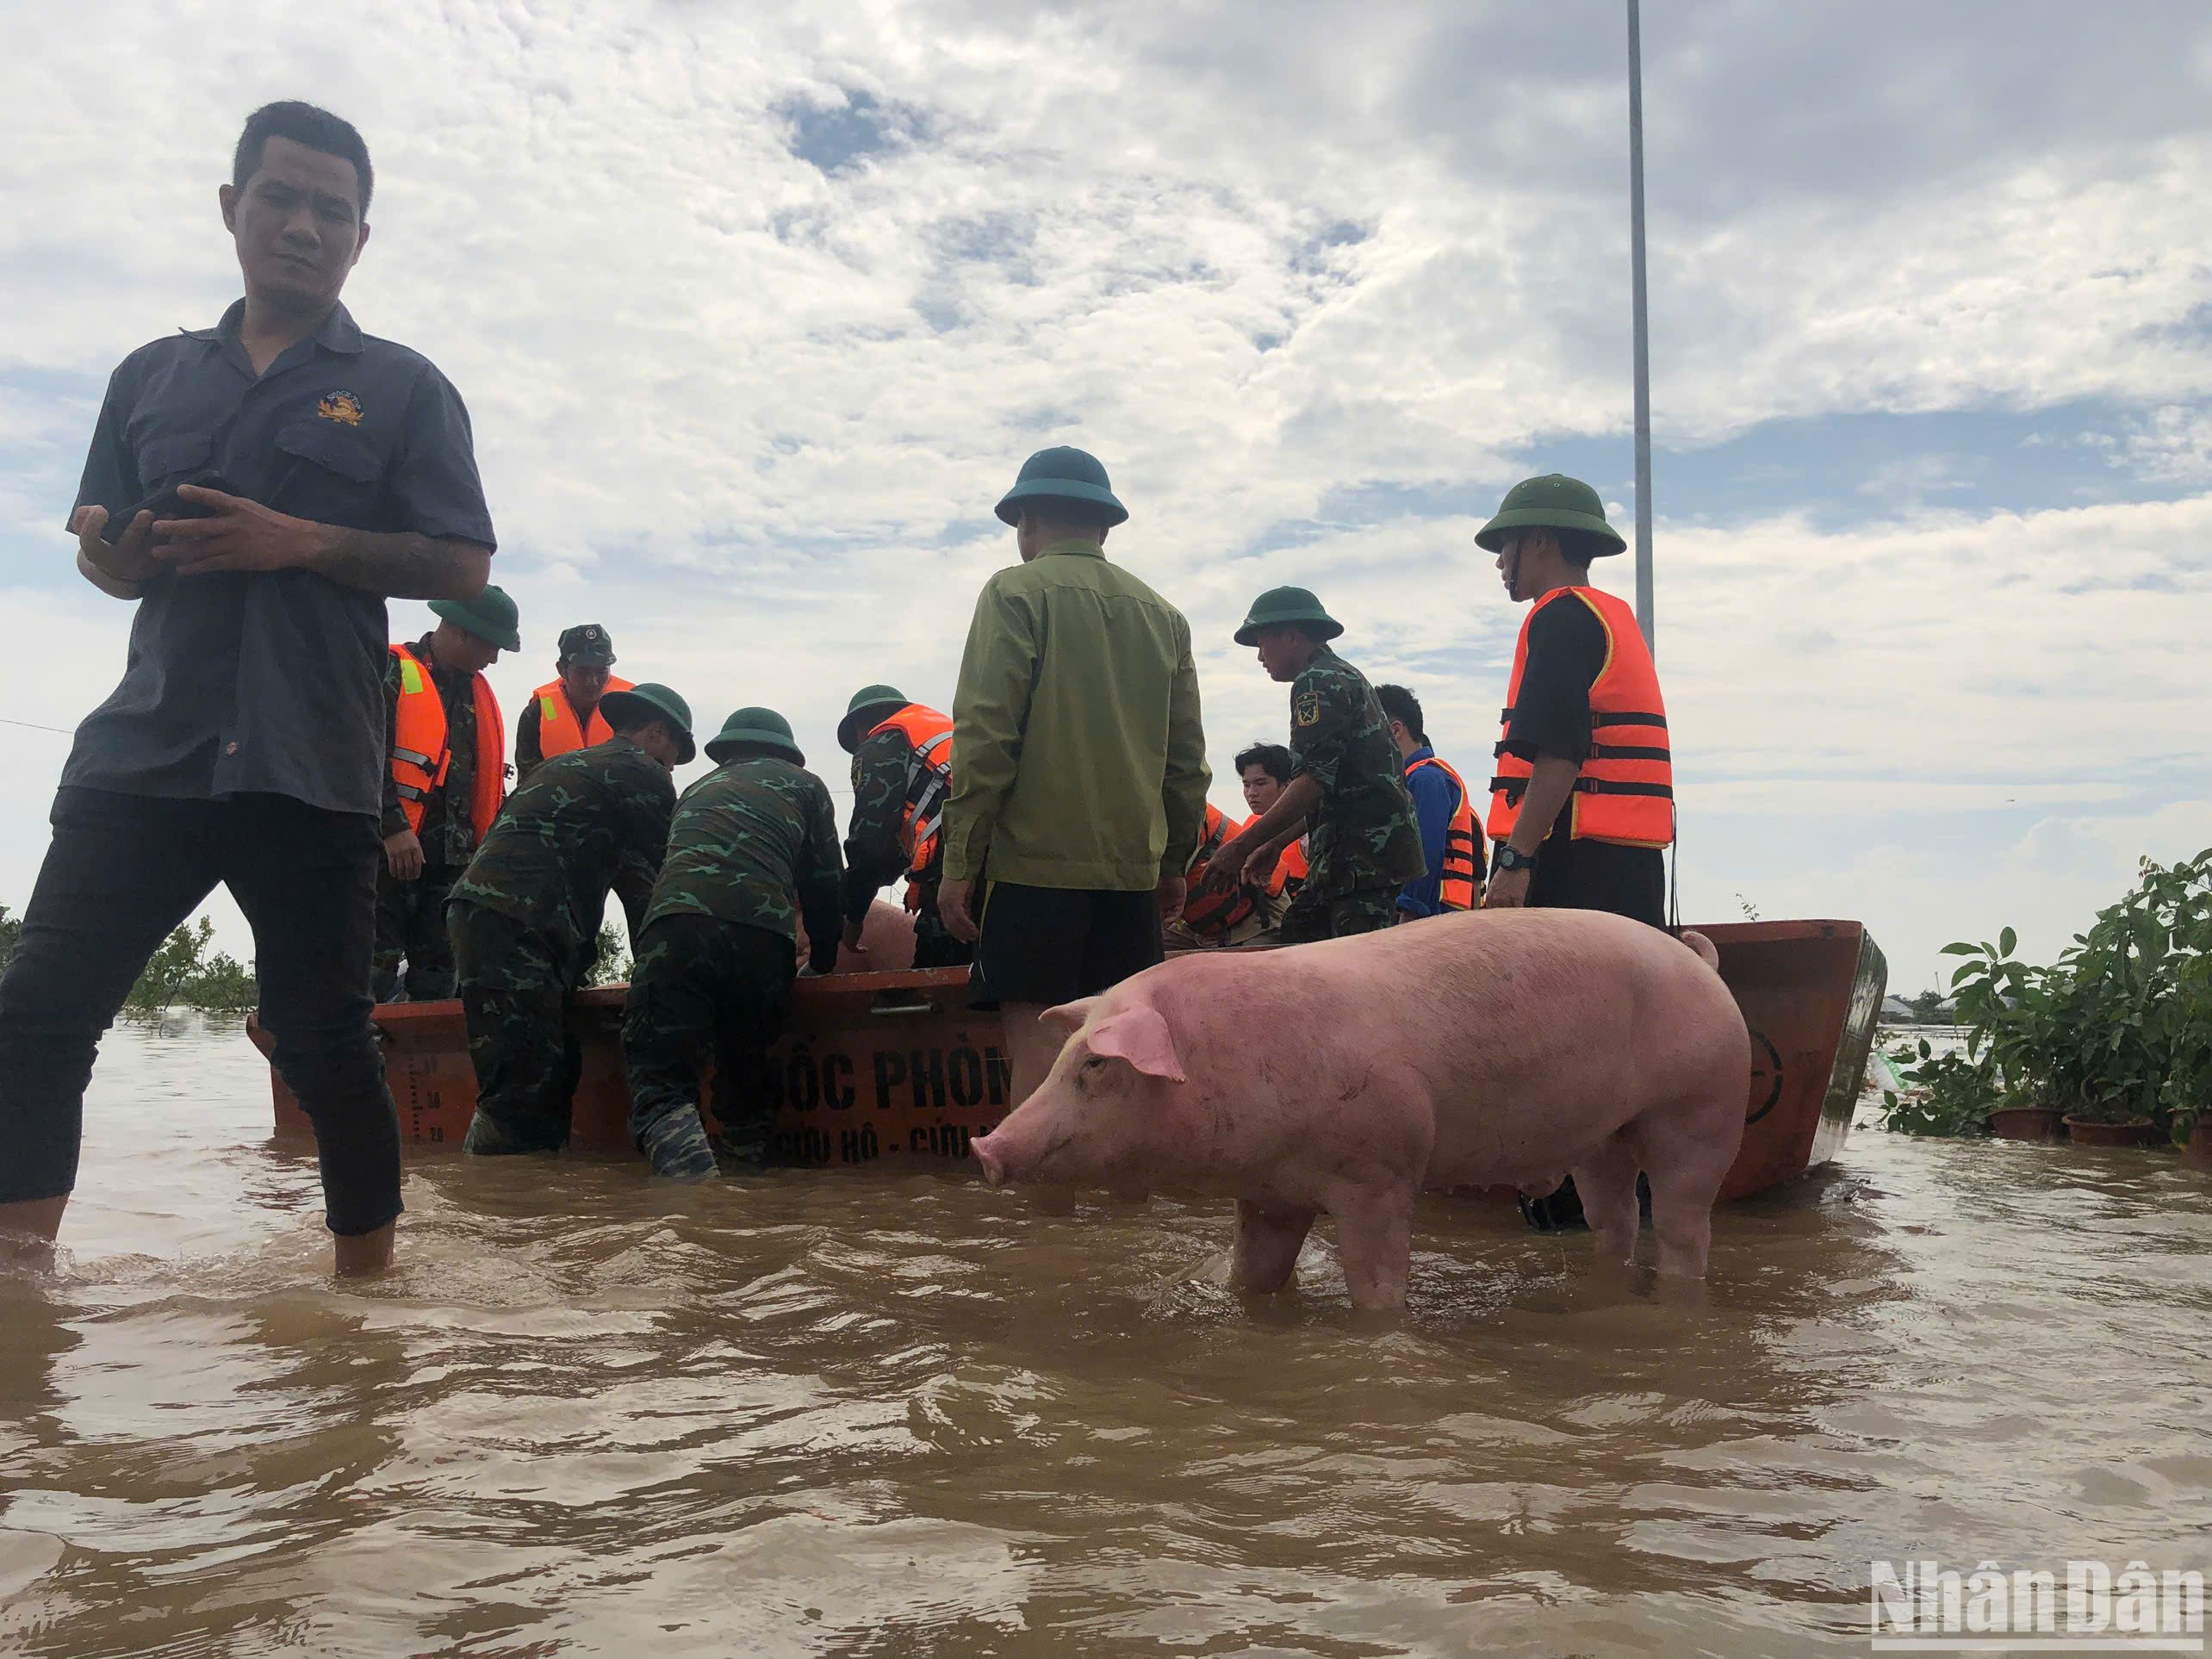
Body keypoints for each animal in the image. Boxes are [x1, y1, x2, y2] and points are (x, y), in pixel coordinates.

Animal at [968, 911, 1743, 1309]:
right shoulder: (1270, 1192)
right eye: (1067, 1054)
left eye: (1095, 1065)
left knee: (1683, 1224)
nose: (985, 1147)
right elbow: (1253, 1274)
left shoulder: (1382, 1169)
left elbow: (1377, 1287)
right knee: (1616, 1215)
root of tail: (1703, 963)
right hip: (1603, 1135)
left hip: (1701, 1109)